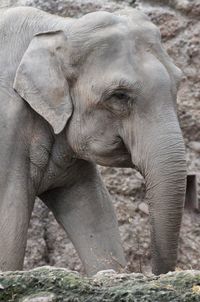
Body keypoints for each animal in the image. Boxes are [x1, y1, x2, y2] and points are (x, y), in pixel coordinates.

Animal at [0, 6, 186, 276]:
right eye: (119, 96)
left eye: (178, 84)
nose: (155, 272)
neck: (58, 28)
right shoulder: (7, 124)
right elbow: (9, 213)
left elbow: (93, 207)